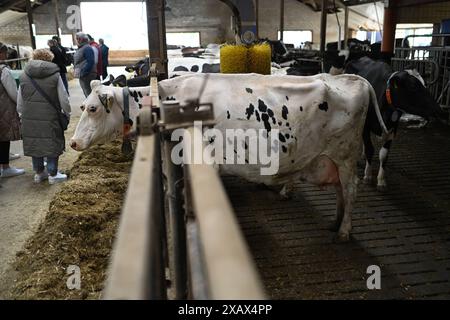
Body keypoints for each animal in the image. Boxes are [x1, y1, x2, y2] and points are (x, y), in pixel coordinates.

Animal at [344, 56, 446, 191]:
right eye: (413, 86)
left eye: (424, 84)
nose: (440, 110)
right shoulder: (366, 126)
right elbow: (370, 149)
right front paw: (367, 176)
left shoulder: (393, 128)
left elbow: (384, 155)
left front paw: (381, 180)